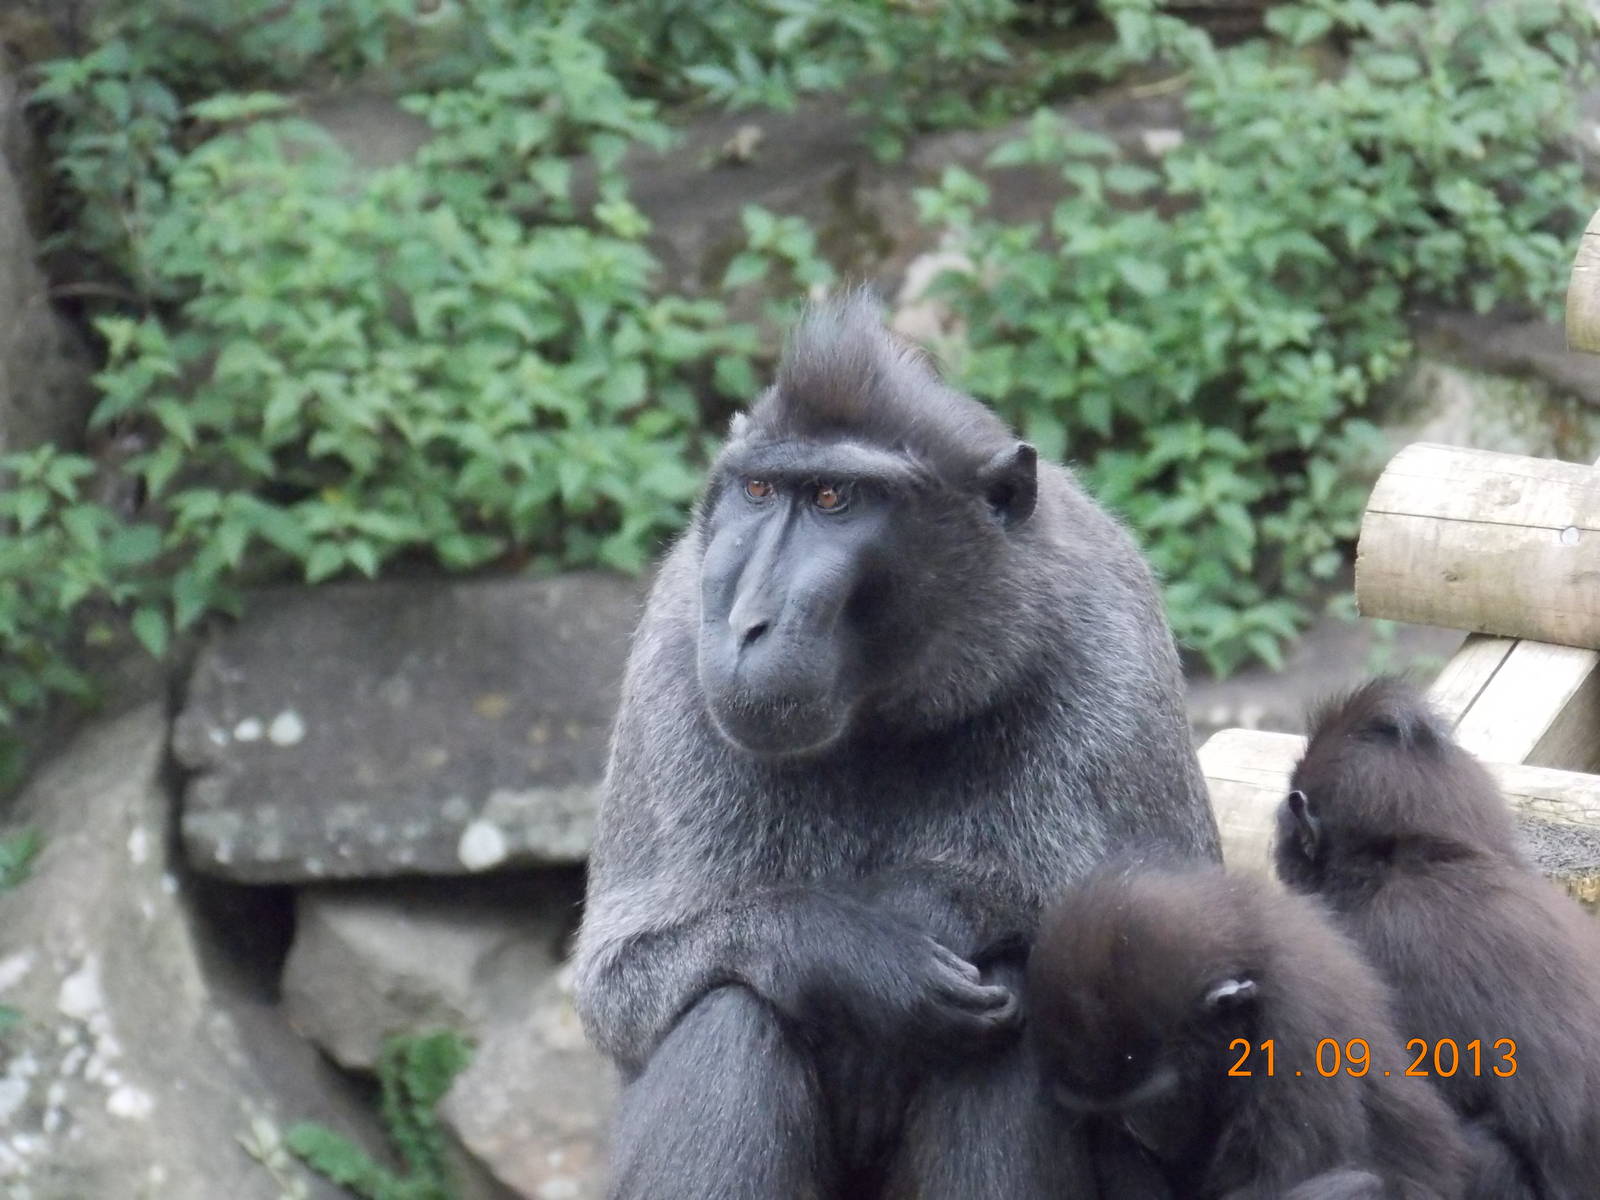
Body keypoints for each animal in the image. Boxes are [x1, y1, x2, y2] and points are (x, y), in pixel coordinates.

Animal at [572, 293, 1220, 1199]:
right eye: (760, 490)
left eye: (835, 499)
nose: (746, 624)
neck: (889, 711)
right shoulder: (672, 654)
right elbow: (617, 981)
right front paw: (853, 957)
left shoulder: (1114, 645)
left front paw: (926, 909)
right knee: (731, 1007)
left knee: (1018, 1000)